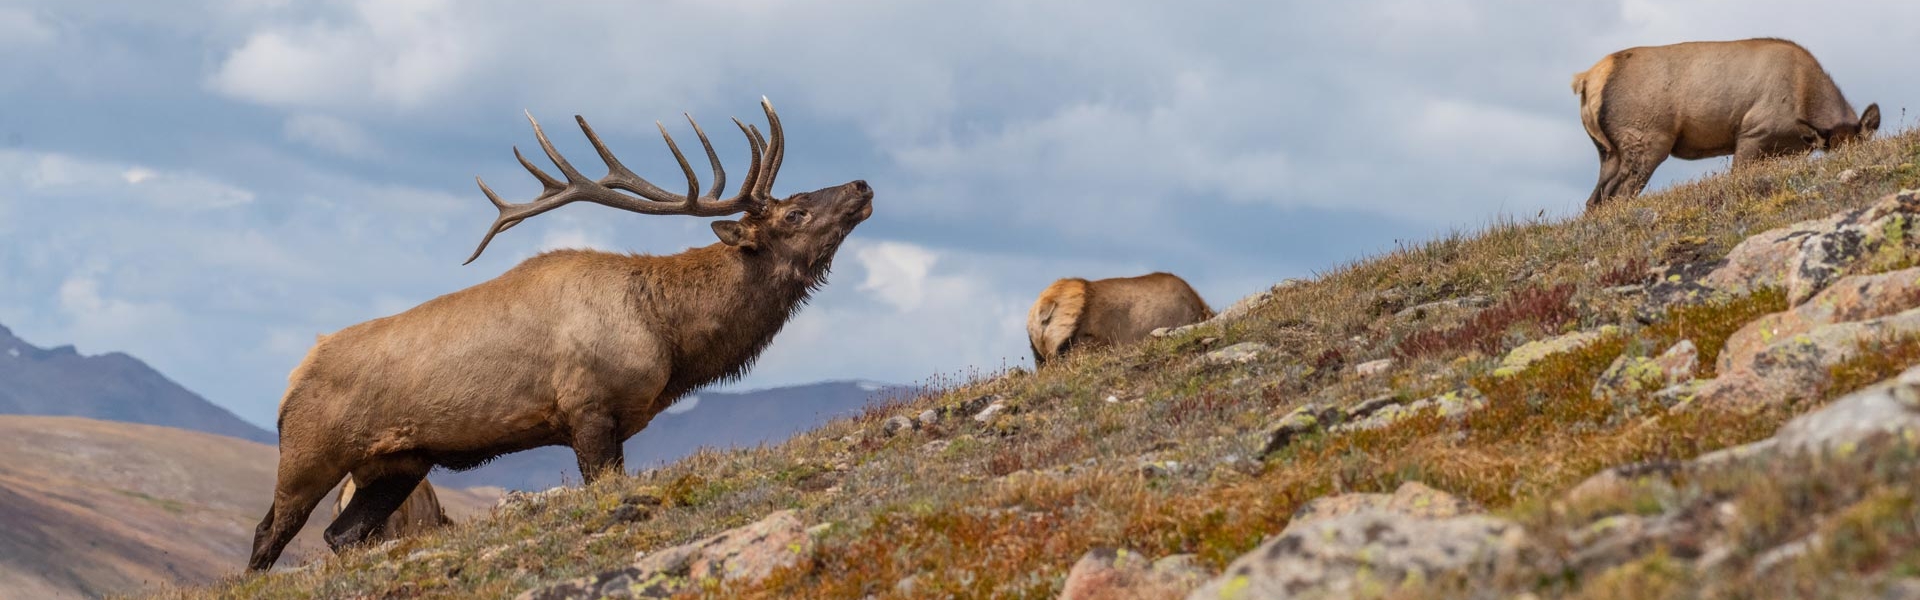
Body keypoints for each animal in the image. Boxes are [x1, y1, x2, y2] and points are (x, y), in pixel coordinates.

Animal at [248, 98, 874, 571]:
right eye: (794, 213)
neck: (669, 337)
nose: (863, 185)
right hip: (309, 453)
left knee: (342, 534)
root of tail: (291, 379)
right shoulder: (588, 409)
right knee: (267, 535)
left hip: (396, 464)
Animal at [1573, 38, 1880, 209]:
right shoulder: (1753, 133)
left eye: (1861, 144)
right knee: (1617, 195)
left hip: (1608, 151)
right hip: (1647, 140)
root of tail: (1586, 79)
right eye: (1832, 149)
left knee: (1594, 199)